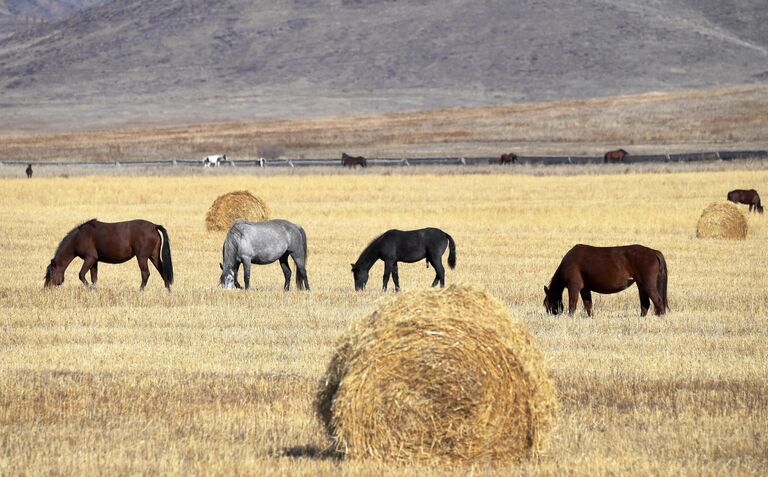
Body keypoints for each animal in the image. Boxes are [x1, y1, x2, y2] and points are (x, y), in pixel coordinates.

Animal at [44, 219, 174, 290]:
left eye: (50, 274)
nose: (46, 289)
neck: (78, 238)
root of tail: (154, 226)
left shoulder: (90, 258)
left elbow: (81, 275)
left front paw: (90, 289)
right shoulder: (94, 261)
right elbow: (94, 278)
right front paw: (94, 290)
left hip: (142, 257)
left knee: (145, 274)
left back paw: (140, 291)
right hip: (154, 256)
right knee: (163, 272)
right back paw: (168, 292)